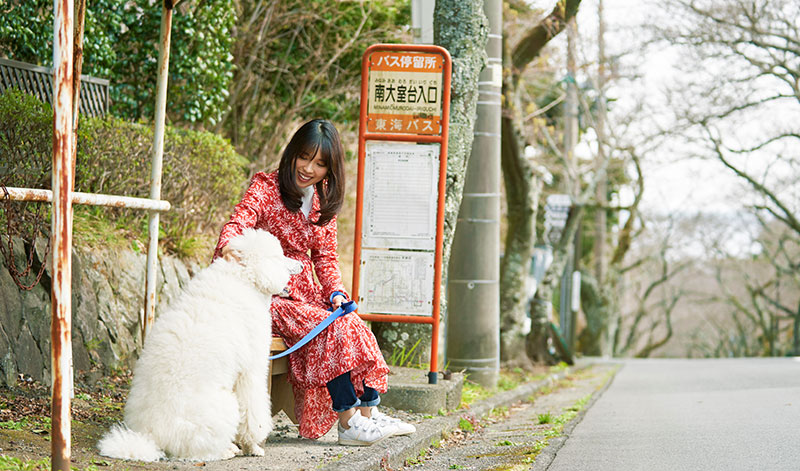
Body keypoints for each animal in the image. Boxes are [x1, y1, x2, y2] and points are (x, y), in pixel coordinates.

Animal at [97, 230, 302, 462]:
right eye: (279, 257)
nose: (301, 265)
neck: (243, 279)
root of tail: (152, 437)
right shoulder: (250, 372)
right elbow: (252, 414)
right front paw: (253, 447)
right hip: (225, 405)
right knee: (200, 450)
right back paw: (227, 450)